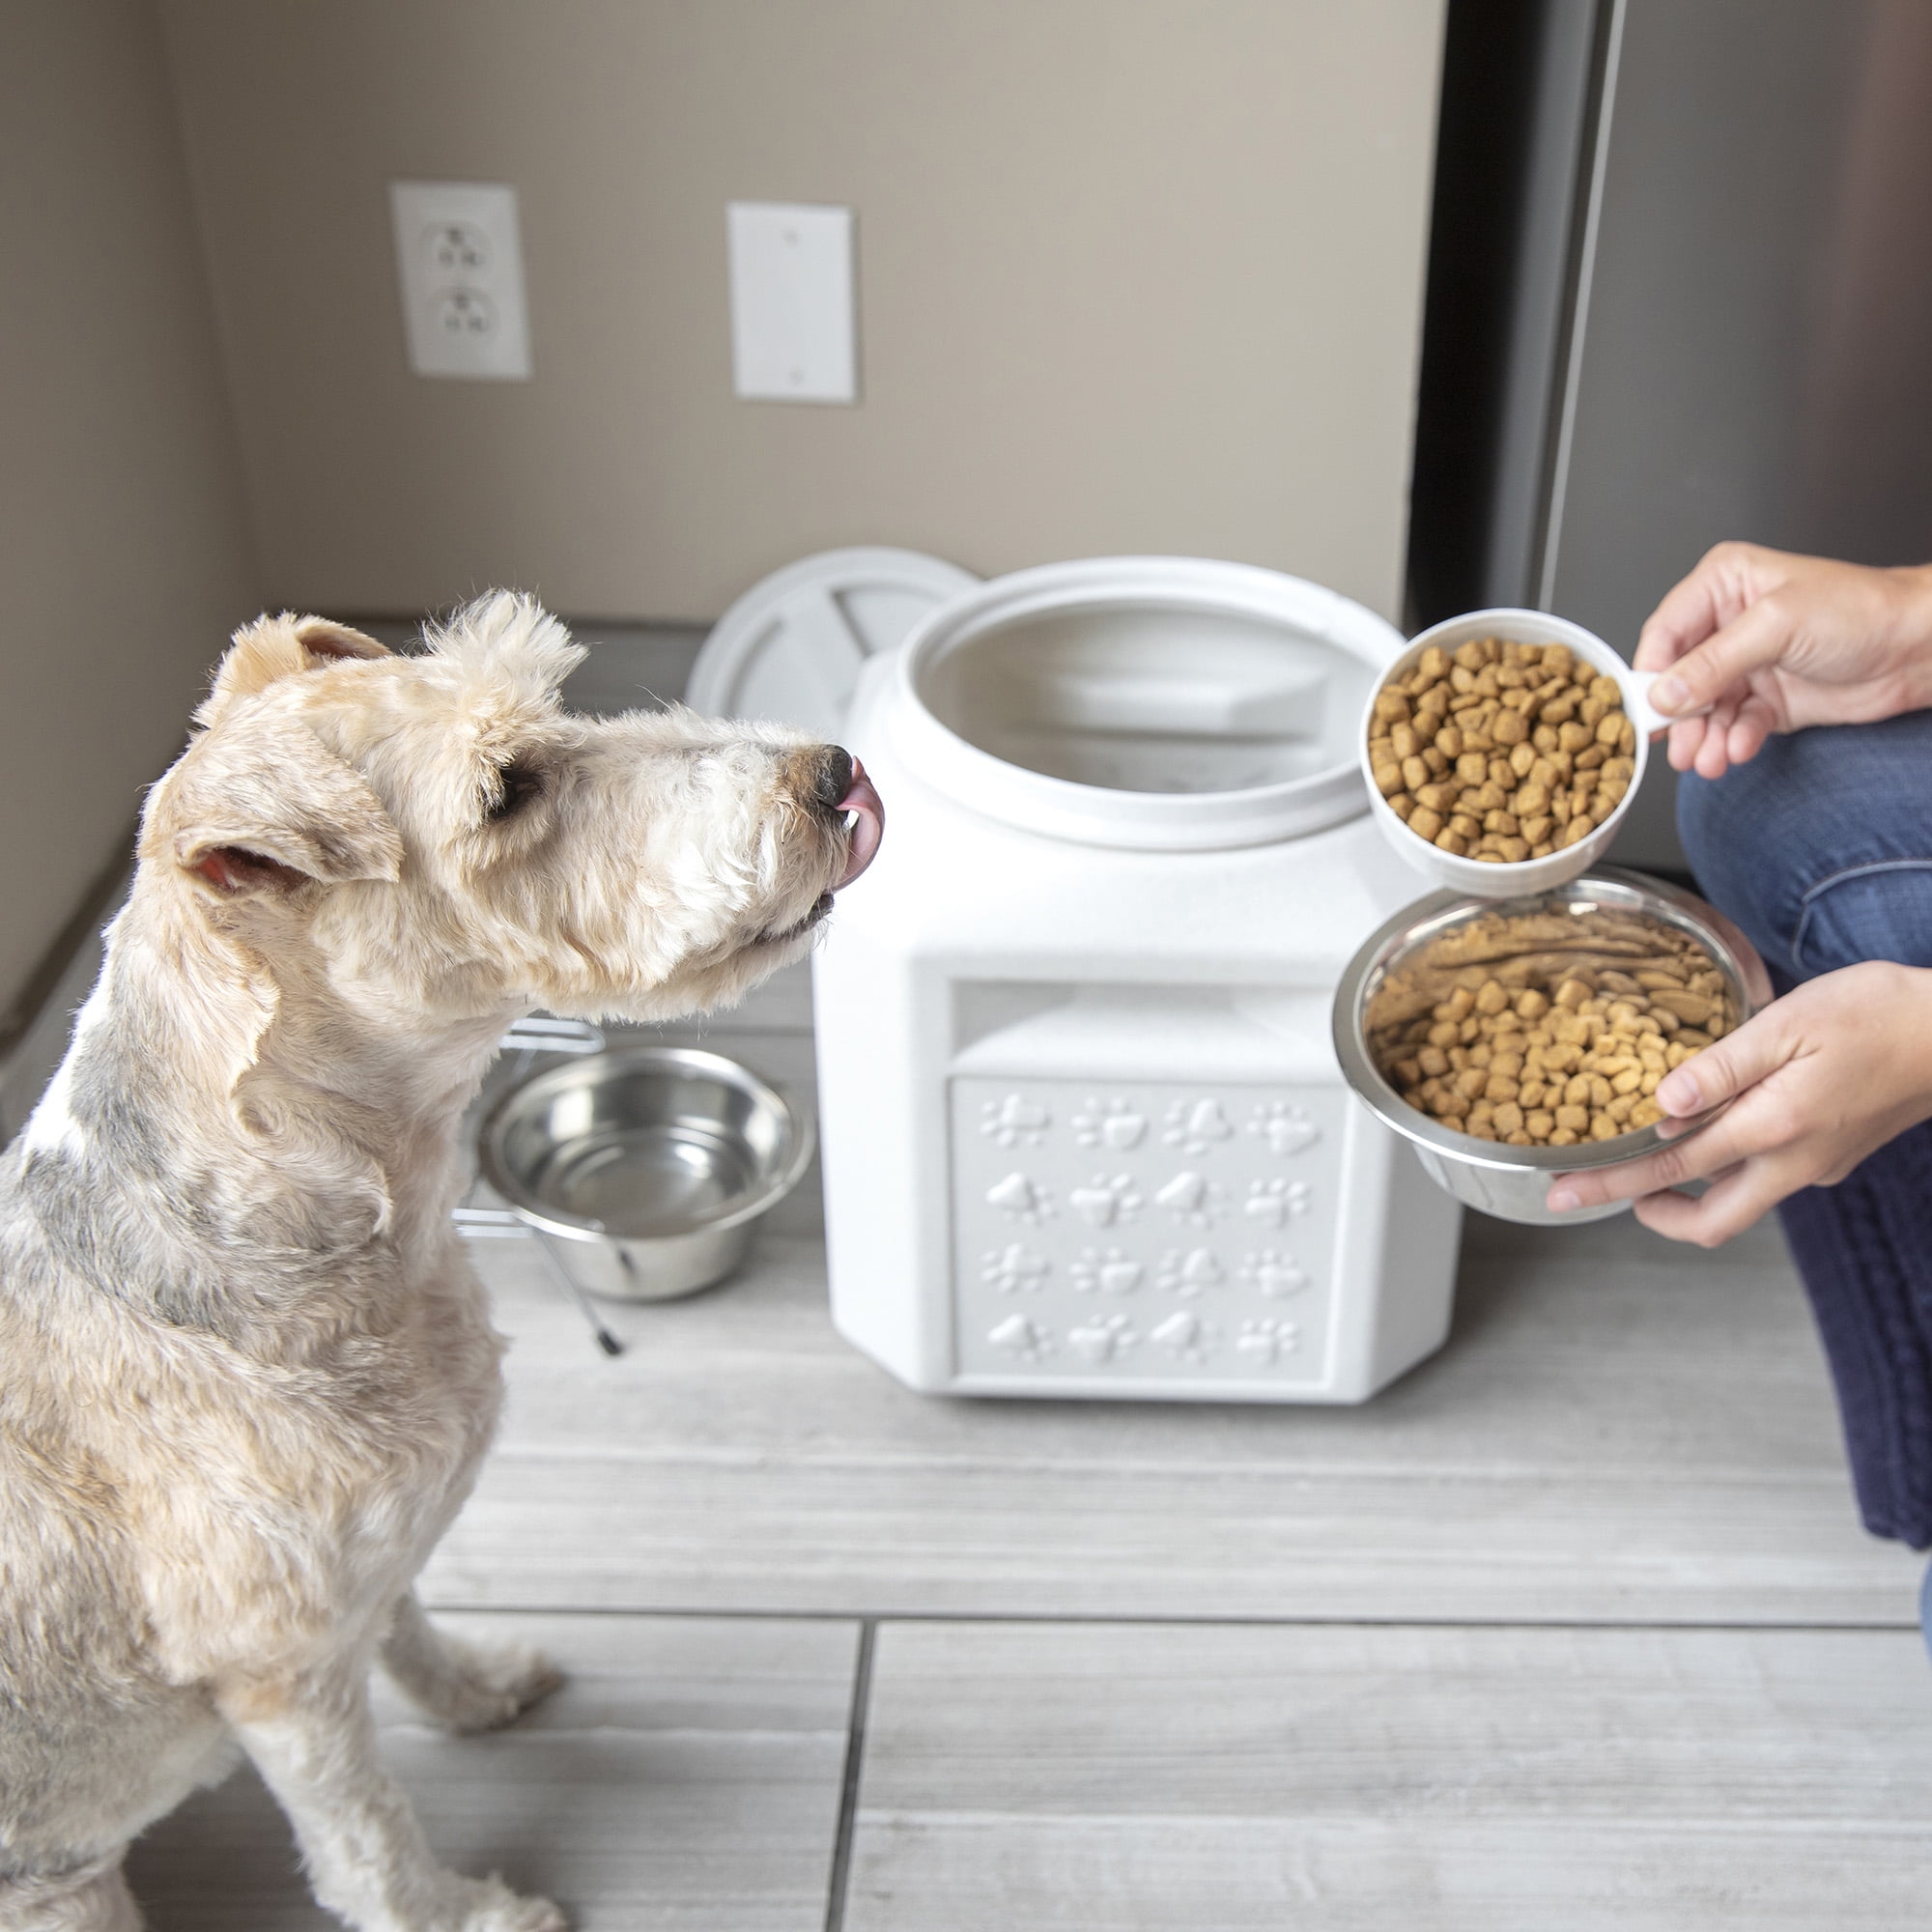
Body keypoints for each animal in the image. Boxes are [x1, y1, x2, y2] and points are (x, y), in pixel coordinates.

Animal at [0, 595, 885, 1924]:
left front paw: (483, 1686)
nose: (829, 770)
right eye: (505, 788)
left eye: (558, 703)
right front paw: (472, 1910)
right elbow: (365, 1831)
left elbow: (413, 1625)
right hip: (66, 1889)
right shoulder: (282, 1670)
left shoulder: (377, 1547)